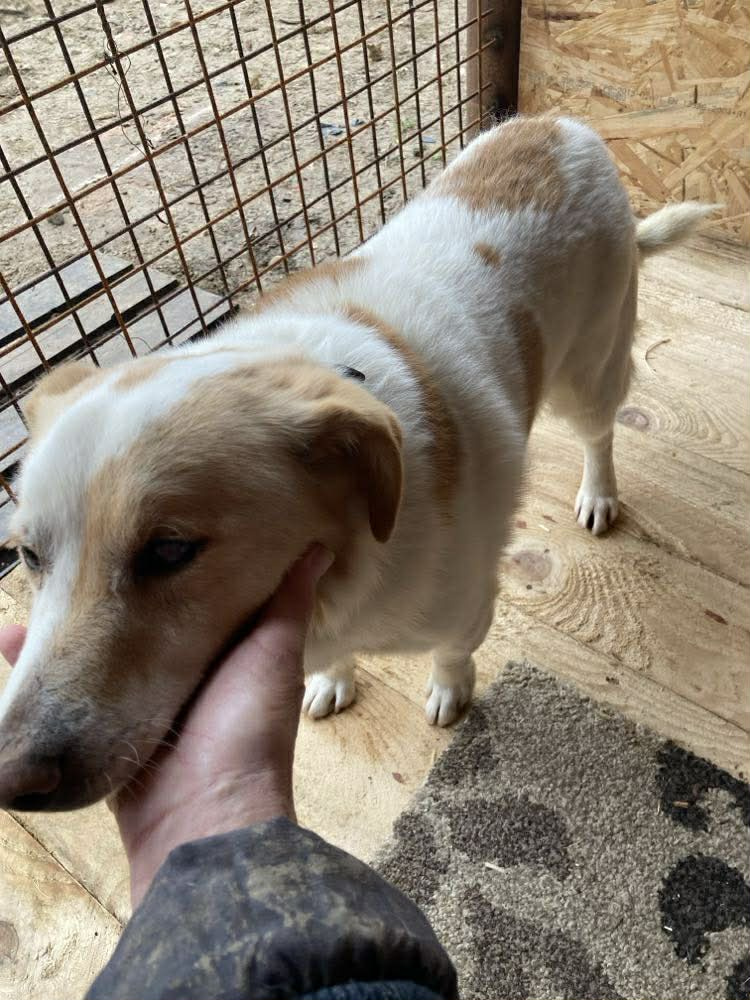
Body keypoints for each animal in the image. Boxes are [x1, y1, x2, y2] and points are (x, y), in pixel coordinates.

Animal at [0, 115, 713, 810]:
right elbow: (331, 663)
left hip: (588, 376)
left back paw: (598, 494)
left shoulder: (468, 608)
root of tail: (566, 127)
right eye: (29, 555)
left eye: (170, 551)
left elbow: (454, 654)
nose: (13, 781)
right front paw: (330, 678)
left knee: (601, 434)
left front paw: (450, 691)